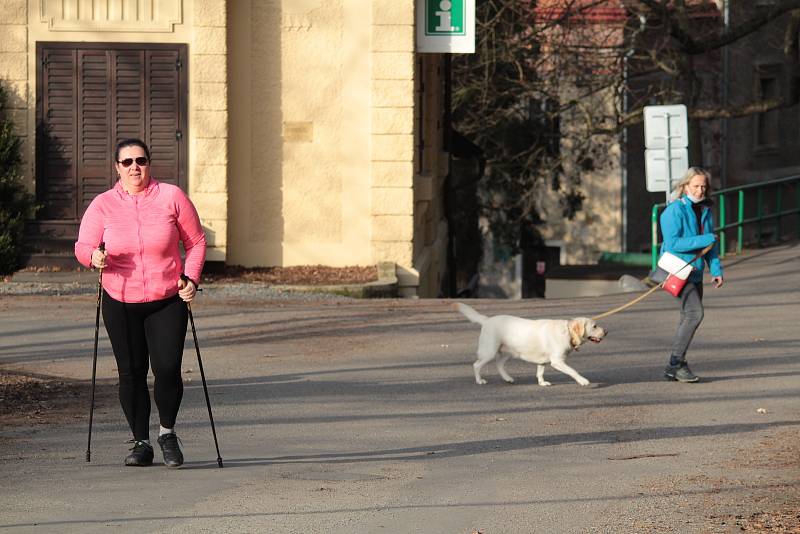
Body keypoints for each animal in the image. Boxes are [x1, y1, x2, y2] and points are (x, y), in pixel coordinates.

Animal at [454, 304, 604, 388]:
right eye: (594, 326)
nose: (606, 332)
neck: (567, 332)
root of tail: (487, 320)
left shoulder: (542, 361)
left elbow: (540, 373)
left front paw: (542, 383)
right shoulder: (557, 361)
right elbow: (573, 371)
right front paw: (583, 381)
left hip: (509, 352)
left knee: (499, 364)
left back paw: (507, 378)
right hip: (489, 351)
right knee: (476, 365)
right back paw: (479, 381)